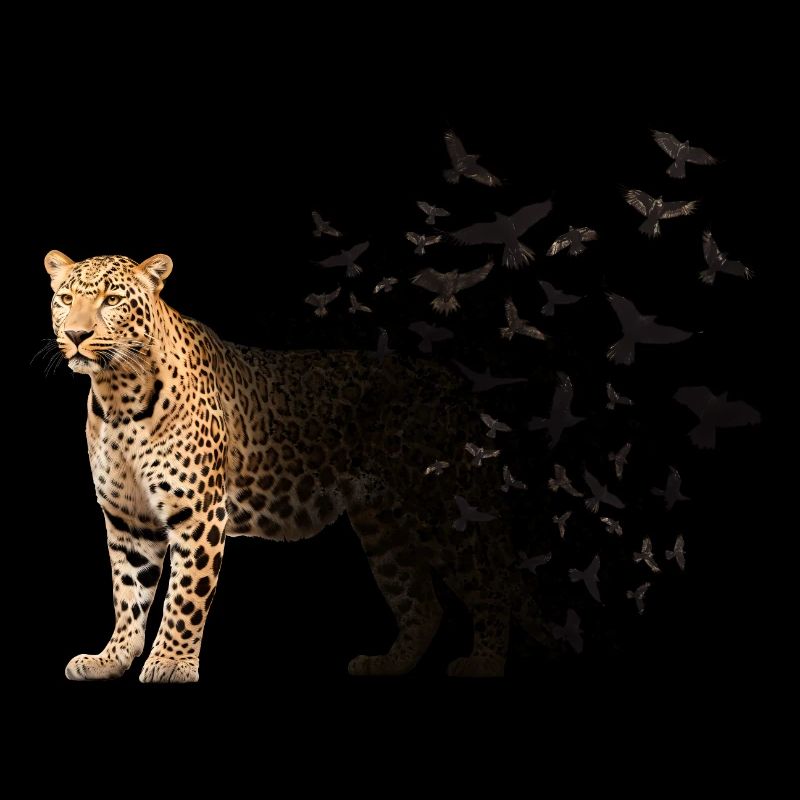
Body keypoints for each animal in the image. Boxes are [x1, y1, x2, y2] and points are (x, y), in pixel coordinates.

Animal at [45, 250, 548, 682]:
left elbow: (185, 595)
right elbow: (128, 592)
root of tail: (455, 385)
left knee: (492, 581)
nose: (75, 336)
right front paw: (111, 658)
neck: (118, 395)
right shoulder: (129, 518)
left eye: (111, 300)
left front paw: (171, 663)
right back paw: (387, 664)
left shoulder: (198, 513)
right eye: (66, 299)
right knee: (423, 604)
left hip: (441, 508)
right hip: (385, 525)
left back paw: (484, 662)